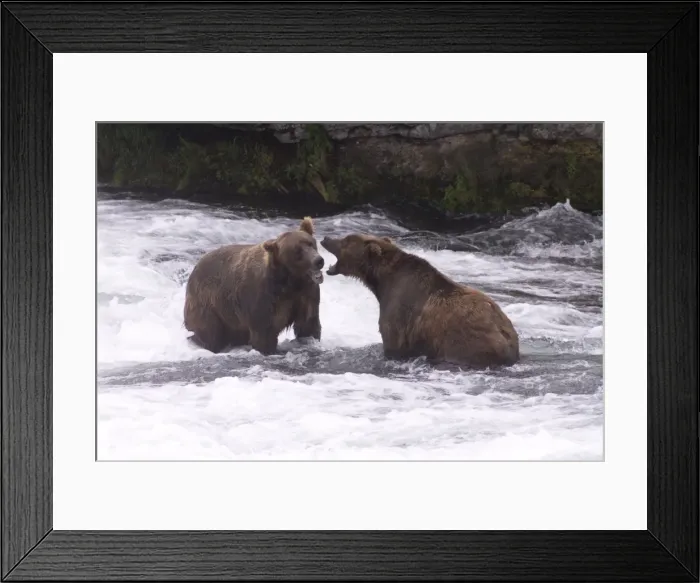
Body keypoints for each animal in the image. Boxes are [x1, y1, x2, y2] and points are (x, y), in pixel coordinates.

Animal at [184, 217, 324, 355]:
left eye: (311, 243)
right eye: (297, 251)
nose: (318, 260)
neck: (291, 281)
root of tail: (194, 270)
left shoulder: (306, 294)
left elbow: (308, 324)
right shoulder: (263, 296)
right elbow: (264, 332)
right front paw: (268, 350)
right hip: (209, 304)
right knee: (209, 333)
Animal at [320, 233, 519, 368]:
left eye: (346, 240)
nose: (325, 238)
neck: (382, 281)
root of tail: (506, 334)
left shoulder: (399, 312)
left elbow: (392, 340)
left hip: (467, 343)